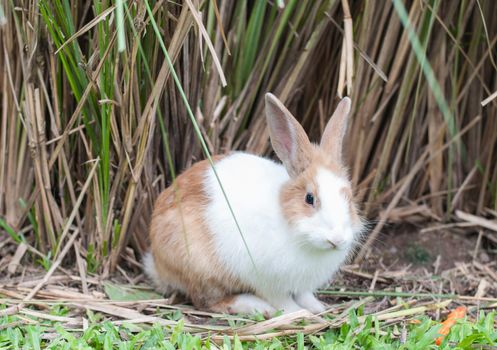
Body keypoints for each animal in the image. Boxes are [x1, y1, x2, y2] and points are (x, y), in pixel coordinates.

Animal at [144, 93, 364, 318]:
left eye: (349, 197)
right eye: (309, 198)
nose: (336, 239)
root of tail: (158, 265)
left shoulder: (301, 284)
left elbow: (304, 294)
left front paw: (317, 307)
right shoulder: (266, 280)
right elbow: (282, 300)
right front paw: (298, 313)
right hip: (201, 269)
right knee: (207, 302)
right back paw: (256, 306)